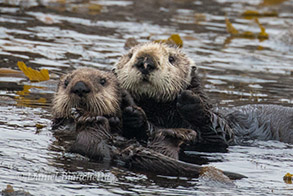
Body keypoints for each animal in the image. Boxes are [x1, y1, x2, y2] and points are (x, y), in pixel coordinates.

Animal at [50, 68, 244, 180]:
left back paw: (179, 132)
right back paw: (91, 120)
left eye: (102, 81)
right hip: (92, 146)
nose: (80, 87)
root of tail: (124, 152)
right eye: (66, 82)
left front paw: (129, 105)